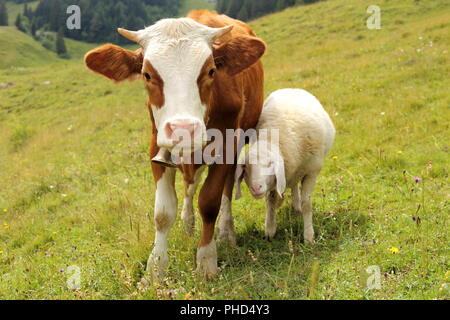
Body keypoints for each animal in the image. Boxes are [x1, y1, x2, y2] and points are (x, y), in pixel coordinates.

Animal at [83, 10, 266, 278]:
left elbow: (209, 202)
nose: (183, 129)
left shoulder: (226, 146)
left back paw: (226, 232)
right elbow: (163, 212)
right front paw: (155, 269)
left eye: (211, 71)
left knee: (225, 189)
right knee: (190, 185)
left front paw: (206, 261)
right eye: (147, 75)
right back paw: (188, 223)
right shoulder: (157, 145)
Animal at [236, 87, 334, 242]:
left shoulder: (312, 171)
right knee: (293, 185)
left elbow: (307, 204)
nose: (256, 188)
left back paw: (297, 207)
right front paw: (270, 229)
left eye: (270, 164)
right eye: (246, 168)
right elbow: (270, 201)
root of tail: (292, 89)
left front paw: (308, 236)